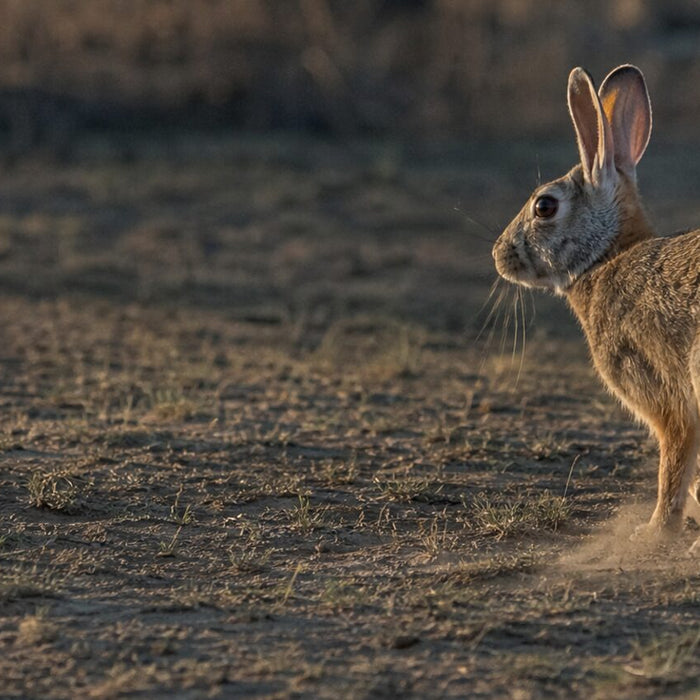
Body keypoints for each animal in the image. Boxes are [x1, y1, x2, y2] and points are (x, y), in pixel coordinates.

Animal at [492, 64, 700, 552]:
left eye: (544, 206)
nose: (498, 255)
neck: (606, 258)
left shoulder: (665, 395)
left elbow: (673, 462)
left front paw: (654, 531)